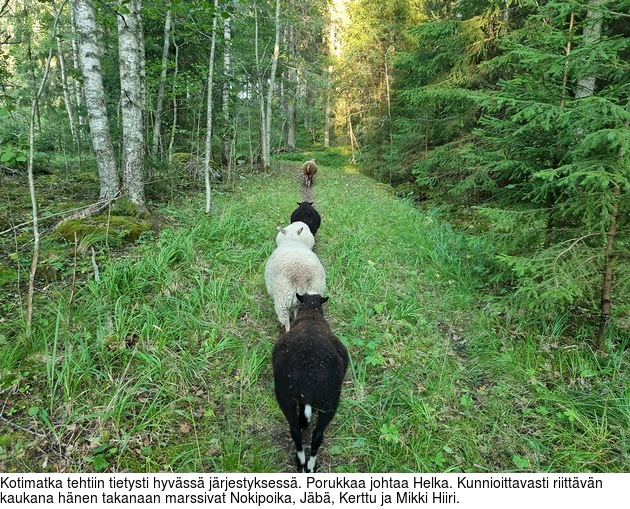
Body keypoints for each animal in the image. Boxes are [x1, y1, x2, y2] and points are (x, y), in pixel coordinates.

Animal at [272, 294, 350, 472]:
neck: (311, 315)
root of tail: (307, 380)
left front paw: (304, 421)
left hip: (287, 395)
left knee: (298, 431)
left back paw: (303, 462)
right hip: (328, 400)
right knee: (316, 435)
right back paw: (308, 464)